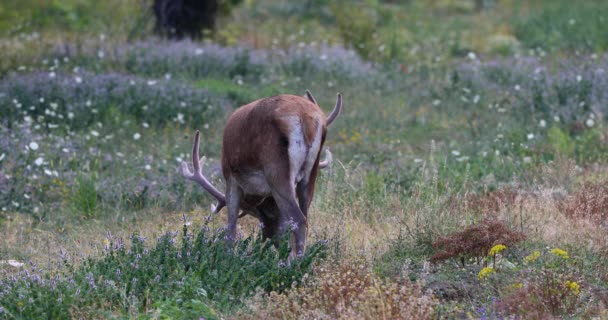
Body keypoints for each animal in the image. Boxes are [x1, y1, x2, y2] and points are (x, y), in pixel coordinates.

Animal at [180, 89, 342, 260]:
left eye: (260, 214)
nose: (268, 236)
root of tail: (306, 118)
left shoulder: (231, 179)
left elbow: (231, 229)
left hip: (277, 172)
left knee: (298, 220)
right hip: (310, 175)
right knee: (304, 216)